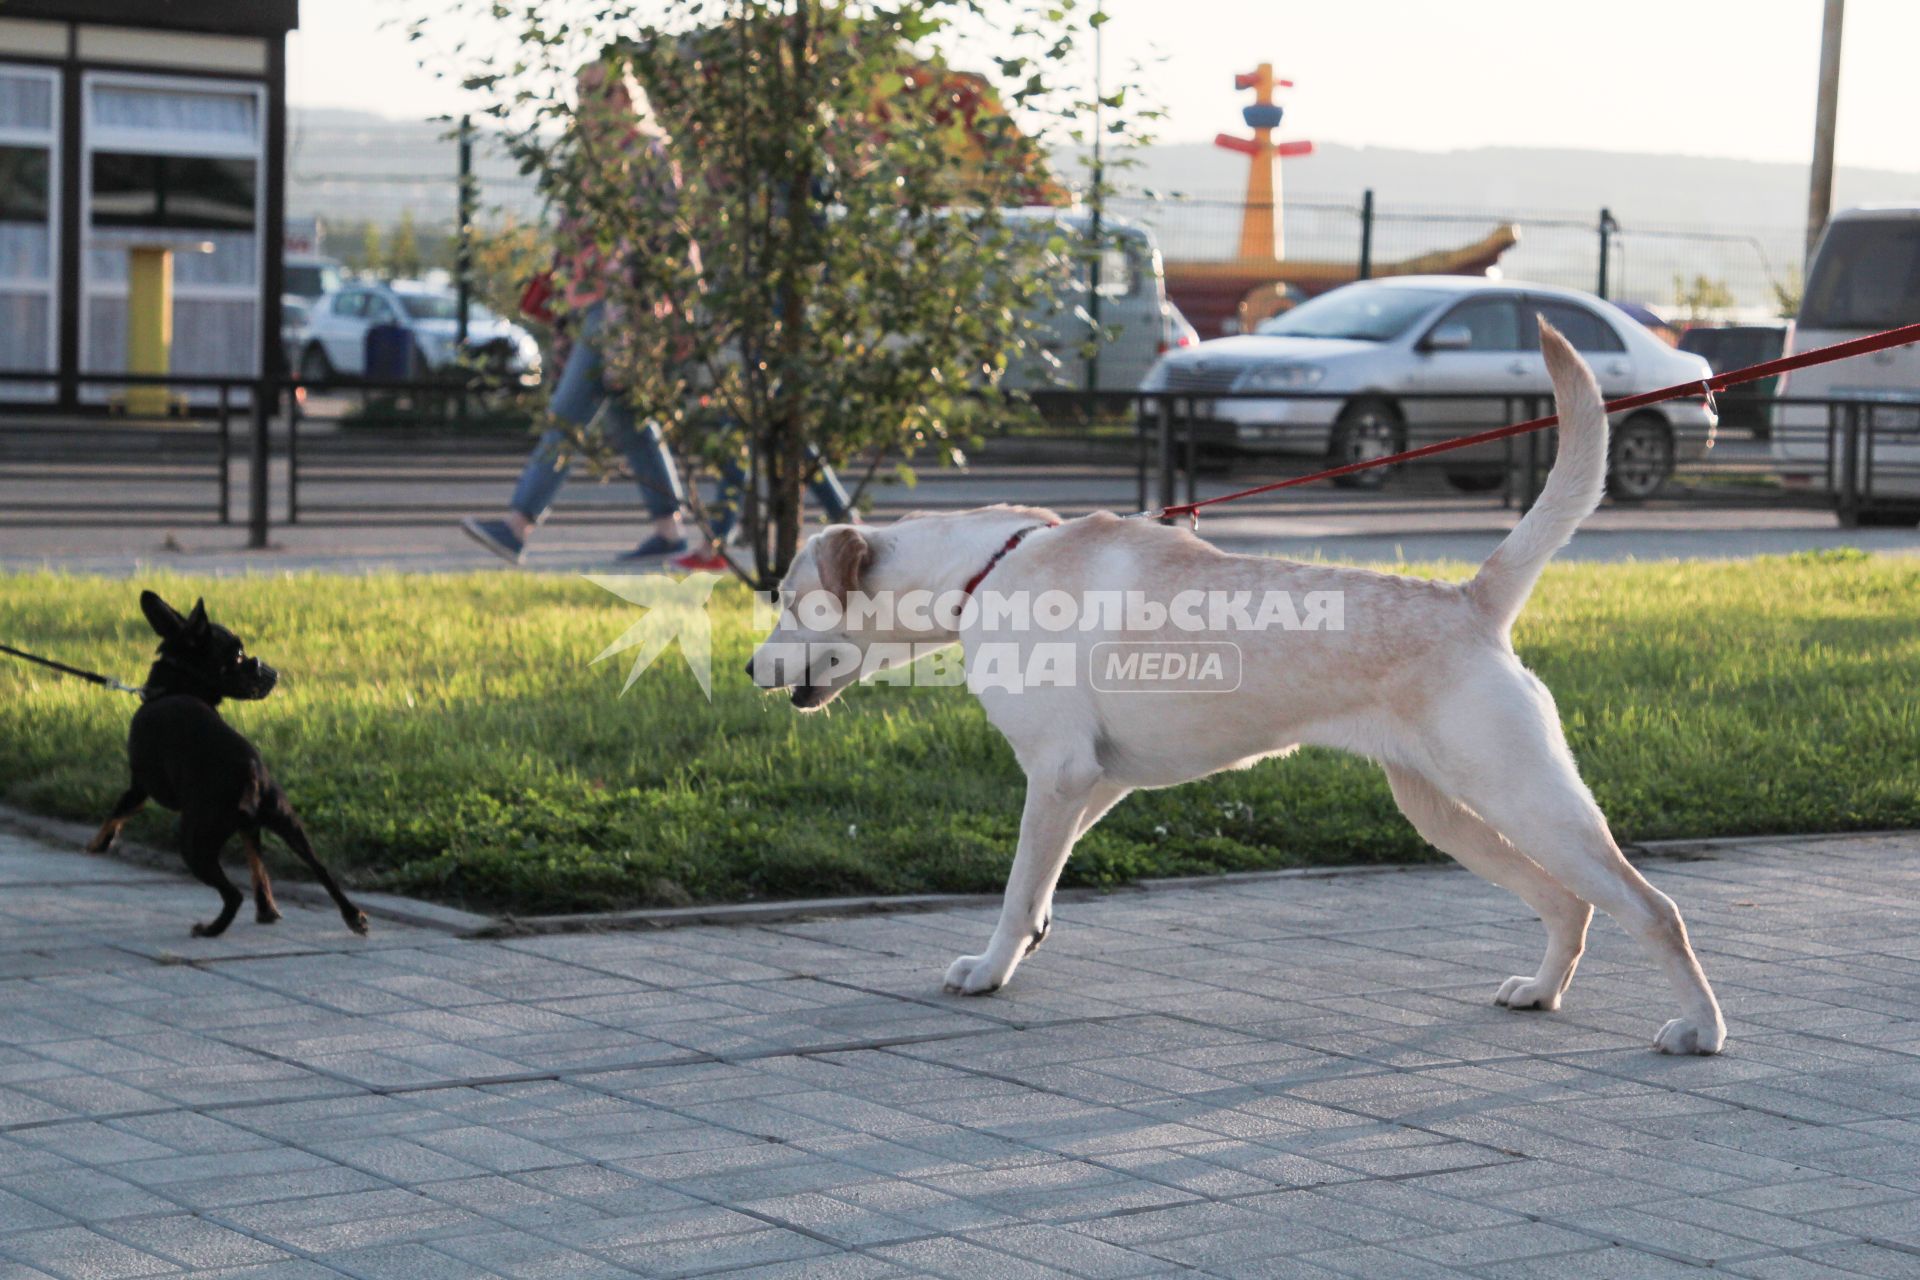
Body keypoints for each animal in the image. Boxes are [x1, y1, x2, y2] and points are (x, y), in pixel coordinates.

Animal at [87, 594, 370, 940]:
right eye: (237, 655)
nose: (271, 671)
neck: (174, 687)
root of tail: (250, 775)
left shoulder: (139, 788)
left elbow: (116, 812)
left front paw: (97, 843)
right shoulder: (251, 827)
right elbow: (258, 866)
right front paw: (268, 908)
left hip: (194, 842)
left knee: (233, 894)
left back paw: (210, 929)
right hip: (284, 821)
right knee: (320, 869)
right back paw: (346, 915)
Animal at [748, 326, 1728, 1059]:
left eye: (791, 602)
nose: (754, 670)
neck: (986, 569)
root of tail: (1470, 600)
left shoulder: (1057, 774)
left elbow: (1018, 883)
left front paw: (991, 969)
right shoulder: (1096, 780)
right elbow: (1043, 878)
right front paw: (1028, 940)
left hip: (1524, 797)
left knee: (1653, 909)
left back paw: (1700, 1029)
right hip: (1449, 813)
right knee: (1569, 902)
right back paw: (1541, 992)